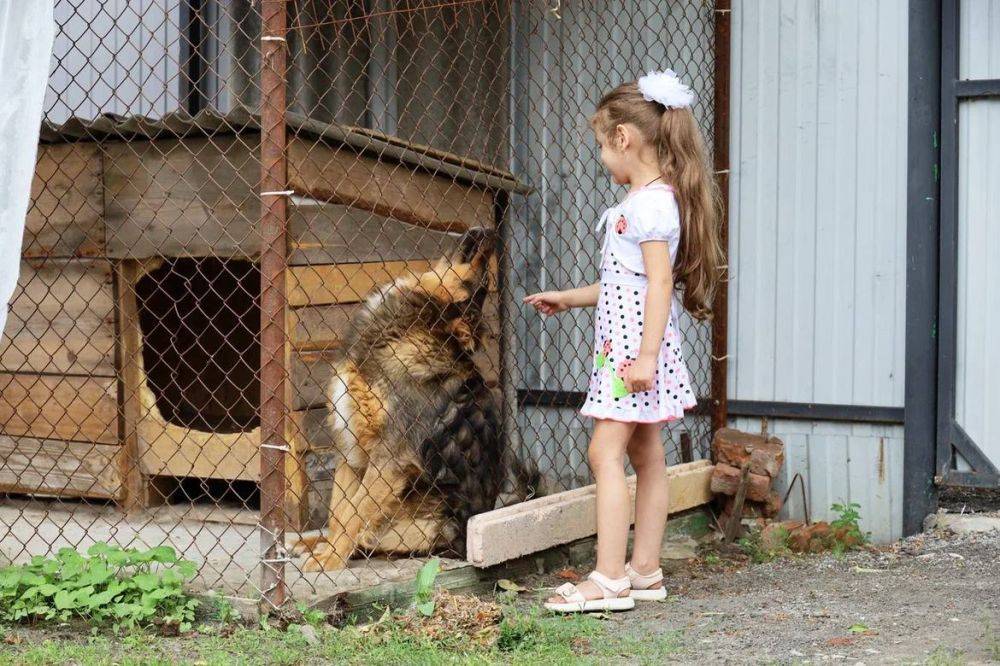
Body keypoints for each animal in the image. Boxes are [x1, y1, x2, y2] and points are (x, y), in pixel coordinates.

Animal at [292, 228, 528, 572]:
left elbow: (354, 513)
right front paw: (328, 549)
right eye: (482, 282)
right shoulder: (350, 445)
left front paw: (332, 558)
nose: (490, 233)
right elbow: (340, 511)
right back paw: (310, 542)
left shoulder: (390, 456)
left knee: (371, 537)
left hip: (432, 522)